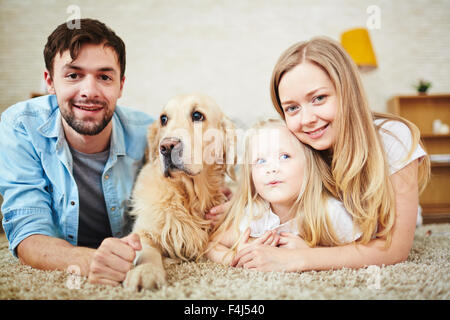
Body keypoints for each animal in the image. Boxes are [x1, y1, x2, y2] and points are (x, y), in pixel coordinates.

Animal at [123, 93, 236, 292]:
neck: (189, 197)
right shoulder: (142, 232)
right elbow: (147, 251)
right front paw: (146, 272)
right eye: (163, 119)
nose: (167, 146)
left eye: (197, 115)